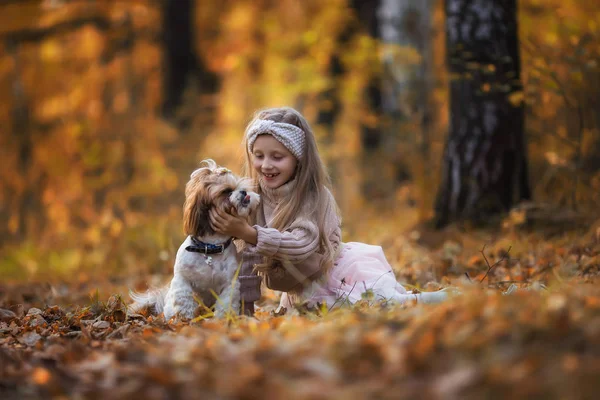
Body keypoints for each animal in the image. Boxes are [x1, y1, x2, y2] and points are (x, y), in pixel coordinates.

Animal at [129, 159, 260, 318]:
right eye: (227, 191)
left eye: (243, 187)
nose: (244, 192)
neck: (210, 247)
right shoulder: (182, 280)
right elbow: (184, 302)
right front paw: (185, 320)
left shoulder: (230, 284)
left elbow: (225, 305)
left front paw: (222, 320)